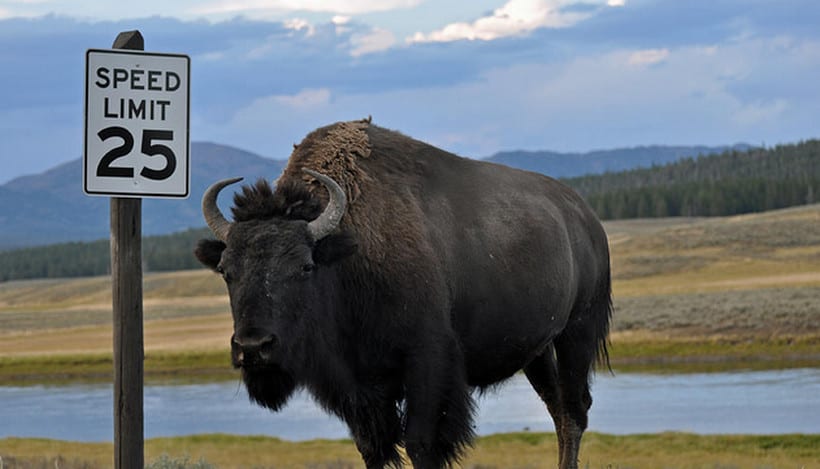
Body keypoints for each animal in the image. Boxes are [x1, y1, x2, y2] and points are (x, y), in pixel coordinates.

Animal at [195, 119, 612, 469]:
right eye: (226, 271)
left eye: (304, 267)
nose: (253, 347)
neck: (346, 254)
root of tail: (584, 218)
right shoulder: (358, 388)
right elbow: (372, 449)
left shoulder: (427, 364)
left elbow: (421, 445)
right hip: (537, 351)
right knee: (558, 407)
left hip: (577, 333)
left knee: (574, 410)